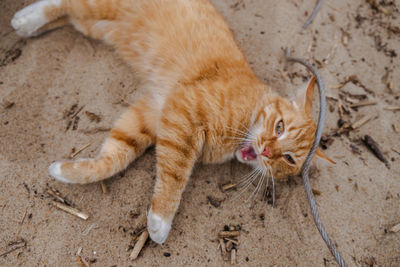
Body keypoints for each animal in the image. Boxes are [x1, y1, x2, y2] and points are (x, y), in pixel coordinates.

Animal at [11, 0, 332, 244]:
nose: (266, 150)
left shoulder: (151, 114)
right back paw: (26, 18)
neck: (248, 116)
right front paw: (160, 221)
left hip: (90, 24)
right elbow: (175, 175)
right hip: (99, 8)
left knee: (68, 15)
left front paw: (68, 172)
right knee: (63, 3)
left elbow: (114, 156)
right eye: (279, 127)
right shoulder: (182, 116)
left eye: (288, 159)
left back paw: (29, 28)